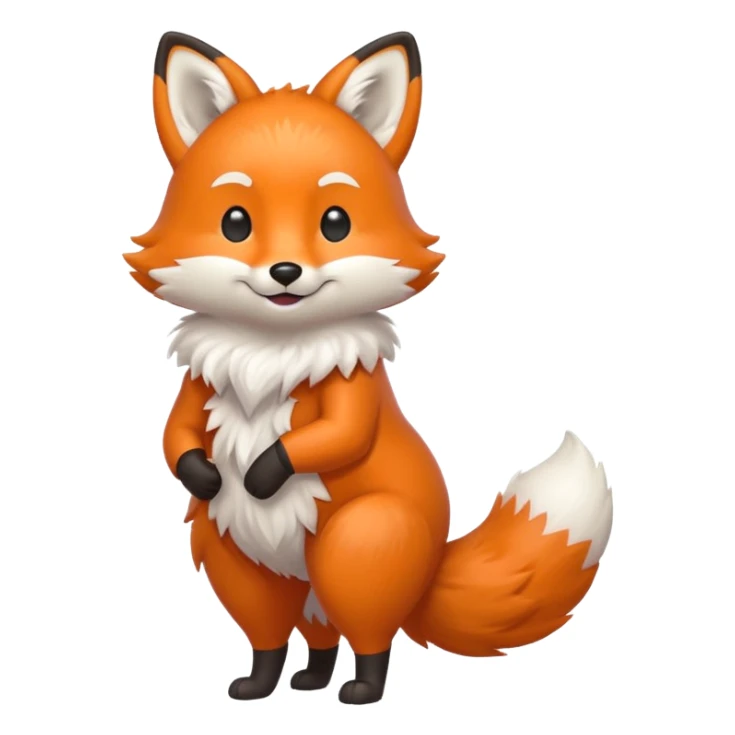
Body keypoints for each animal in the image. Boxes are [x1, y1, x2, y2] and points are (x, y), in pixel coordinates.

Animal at [125, 30, 614, 705]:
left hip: (356, 544)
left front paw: (261, 475)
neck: (270, 352)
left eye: (336, 223)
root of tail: (430, 570)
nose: (284, 272)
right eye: (235, 223)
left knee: (369, 637)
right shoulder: (196, 387)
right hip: (239, 557)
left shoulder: (350, 389)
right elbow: (174, 437)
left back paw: (360, 690)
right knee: (287, 634)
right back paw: (279, 682)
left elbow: (338, 436)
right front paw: (205, 474)